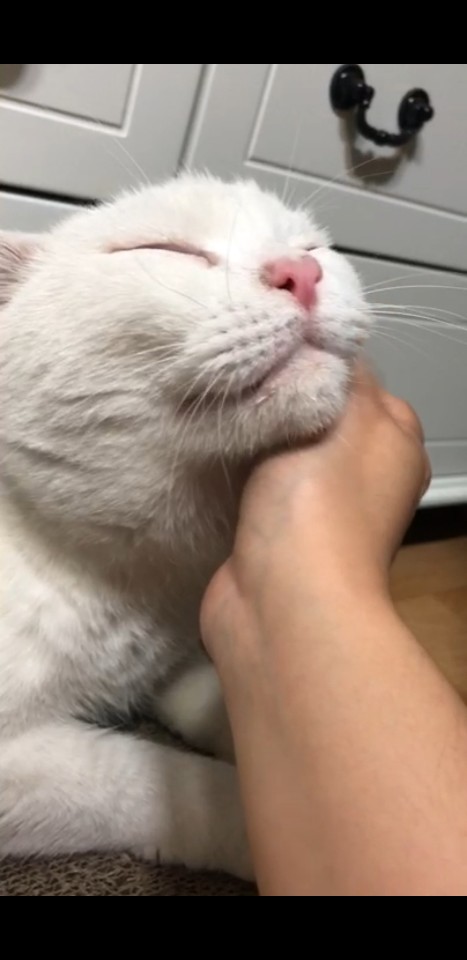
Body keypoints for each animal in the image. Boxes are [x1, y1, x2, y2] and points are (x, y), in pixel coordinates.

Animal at [0, 175, 370, 878]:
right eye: (165, 249)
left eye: (314, 245)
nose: (301, 270)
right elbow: (139, 777)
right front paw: (277, 825)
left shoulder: (174, 655)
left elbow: (223, 698)